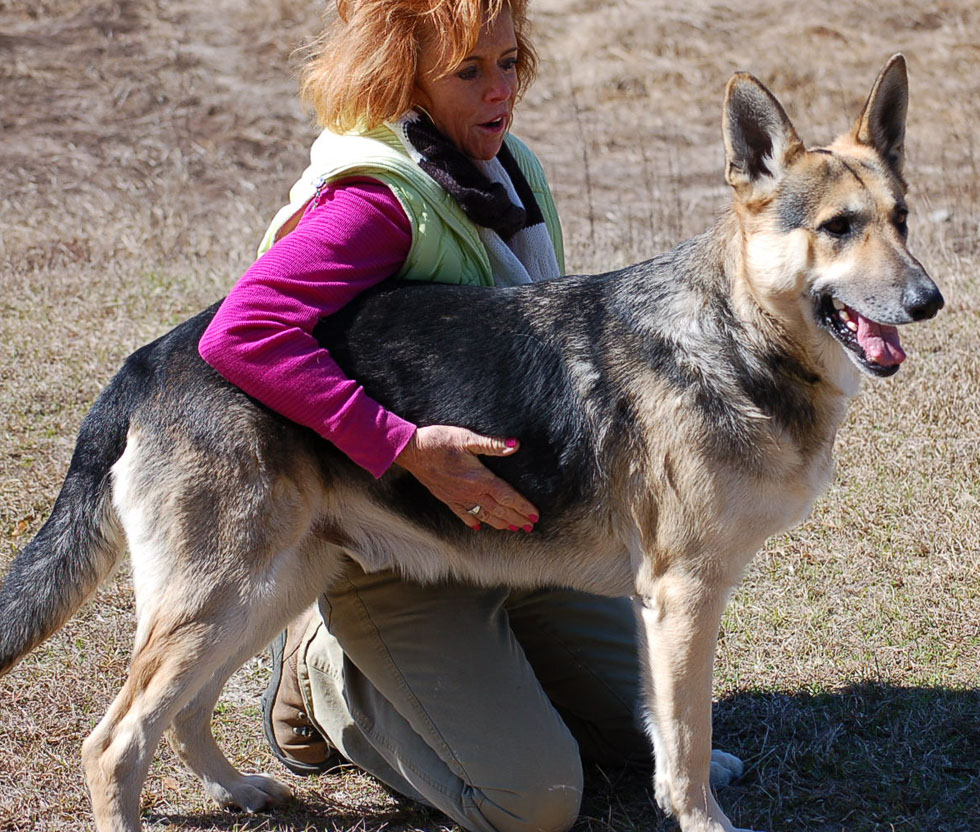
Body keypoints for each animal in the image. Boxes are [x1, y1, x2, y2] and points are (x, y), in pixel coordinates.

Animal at [0, 55, 942, 832]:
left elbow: (668, 728)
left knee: (185, 713)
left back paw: (242, 790)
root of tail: (149, 357)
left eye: (901, 219)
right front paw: (702, 818)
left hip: (263, 587)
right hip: (220, 594)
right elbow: (684, 739)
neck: (736, 332)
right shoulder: (684, 595)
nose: (930, 301)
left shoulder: (660, 608)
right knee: (116, 741)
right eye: (838, 227)